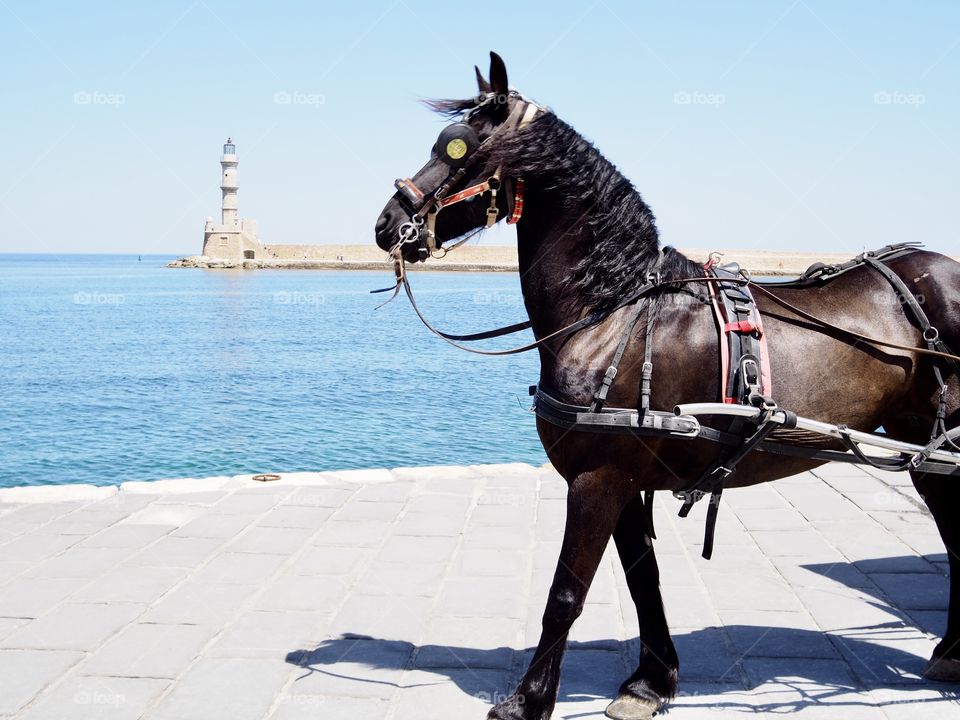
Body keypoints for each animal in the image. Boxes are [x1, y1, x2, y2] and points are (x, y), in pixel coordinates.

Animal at [374, 52, 960, 720]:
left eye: (458, 147)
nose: (387, 223)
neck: (610, 312)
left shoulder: (598, 476)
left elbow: (566, 593)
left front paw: (528, 700)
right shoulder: (625, 477)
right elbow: (642, 579)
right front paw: (651, 682)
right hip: (926, 445)